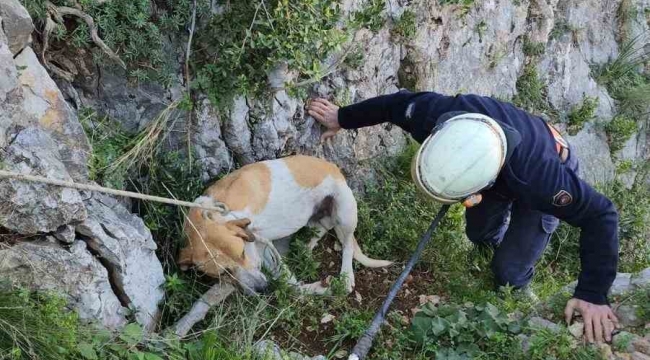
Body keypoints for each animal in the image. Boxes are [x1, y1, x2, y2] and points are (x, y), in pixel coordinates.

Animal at [176, 155, 390, 296]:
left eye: (242, 253)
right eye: (223, 273)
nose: (262, 289)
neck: (212, 212)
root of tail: (335, 168)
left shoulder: (261, 243)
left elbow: (286, 276)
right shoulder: (261, 246)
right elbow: (289, 282)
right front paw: (316, 289)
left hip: (345, 212)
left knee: (346, 245)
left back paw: (346, 276)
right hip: (313, 218)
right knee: (324, 226)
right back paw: (306, 247)